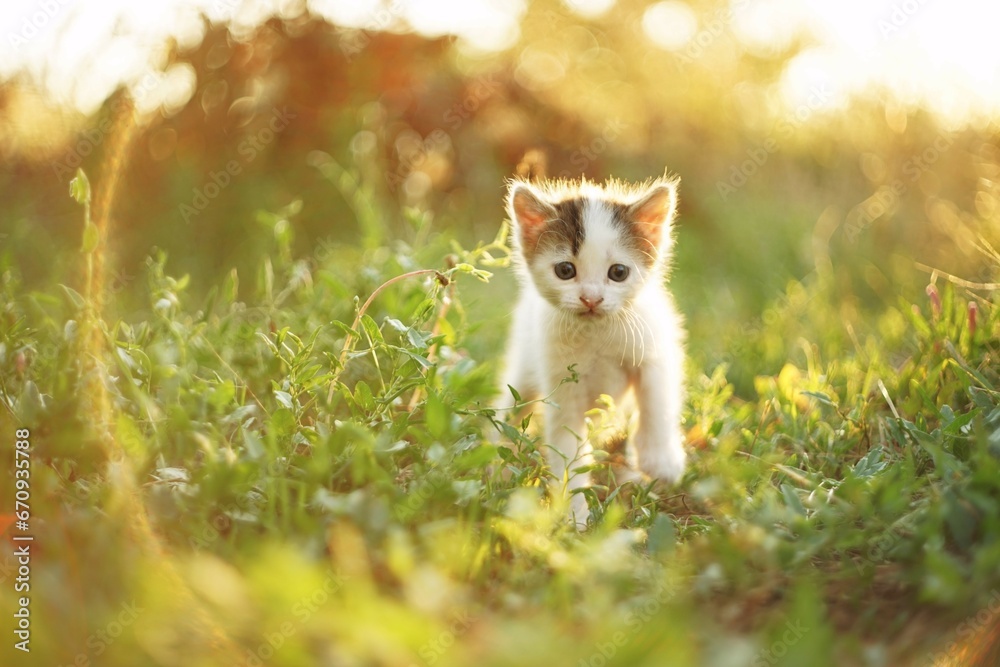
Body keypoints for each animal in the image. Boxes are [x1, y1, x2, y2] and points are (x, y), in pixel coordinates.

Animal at [494, 175, 684, 528]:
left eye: (619, 272)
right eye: (565, 271)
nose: (591, 299)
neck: (598, 332)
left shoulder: (655, 345)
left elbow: (658, 399)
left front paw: (661, 460)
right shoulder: (560, 385)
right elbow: (568, 447)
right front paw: (574, 514)